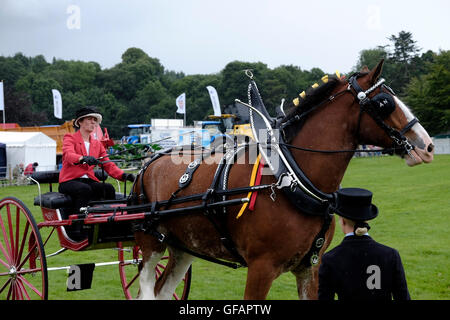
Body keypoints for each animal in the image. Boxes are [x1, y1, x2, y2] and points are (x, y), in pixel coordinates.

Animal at [133, 60, 432, 300]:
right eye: (384, 103)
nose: (427, 145)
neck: (290, 180)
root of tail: (149, 162)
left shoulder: (310, 268)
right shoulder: (260, 268)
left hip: (185, 247)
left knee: (163, 291)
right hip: (150, 244)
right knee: (146, 290)